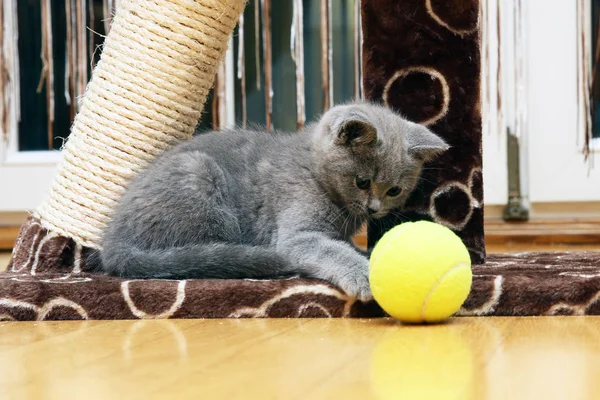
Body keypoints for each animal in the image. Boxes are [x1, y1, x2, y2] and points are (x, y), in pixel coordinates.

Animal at [96, 102, 448, 300]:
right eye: (362, 182)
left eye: (394, 190)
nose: (374, 208)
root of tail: (113, 241)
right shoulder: (297, 235)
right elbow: (330, 250)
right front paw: (364, 273)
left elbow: (342, 244)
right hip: (200, 175)